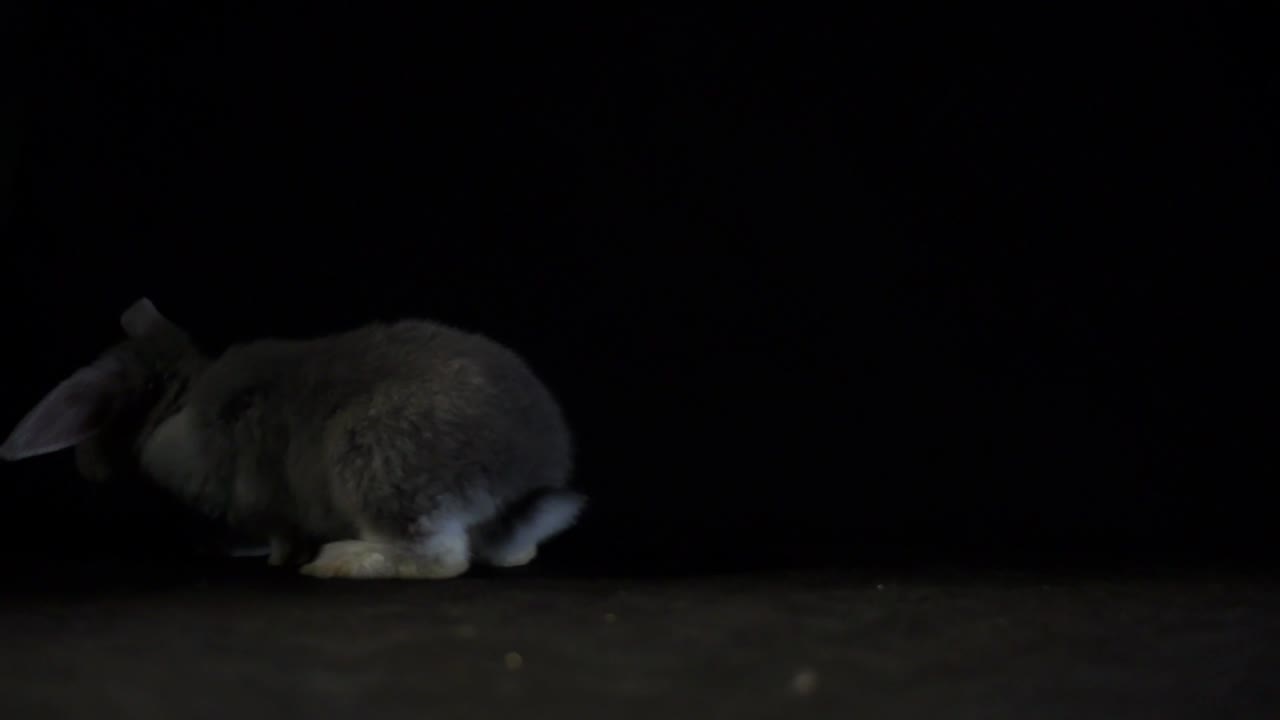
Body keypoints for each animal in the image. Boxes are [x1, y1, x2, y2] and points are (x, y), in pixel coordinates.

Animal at [0, 298, 585, 579]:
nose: (87, 466)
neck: (181, 395)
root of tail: (520, 480)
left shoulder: (264, 498)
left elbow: (280, 530)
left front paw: (274, 557)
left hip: (376, 466)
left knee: (441, 558)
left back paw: (338, 562)